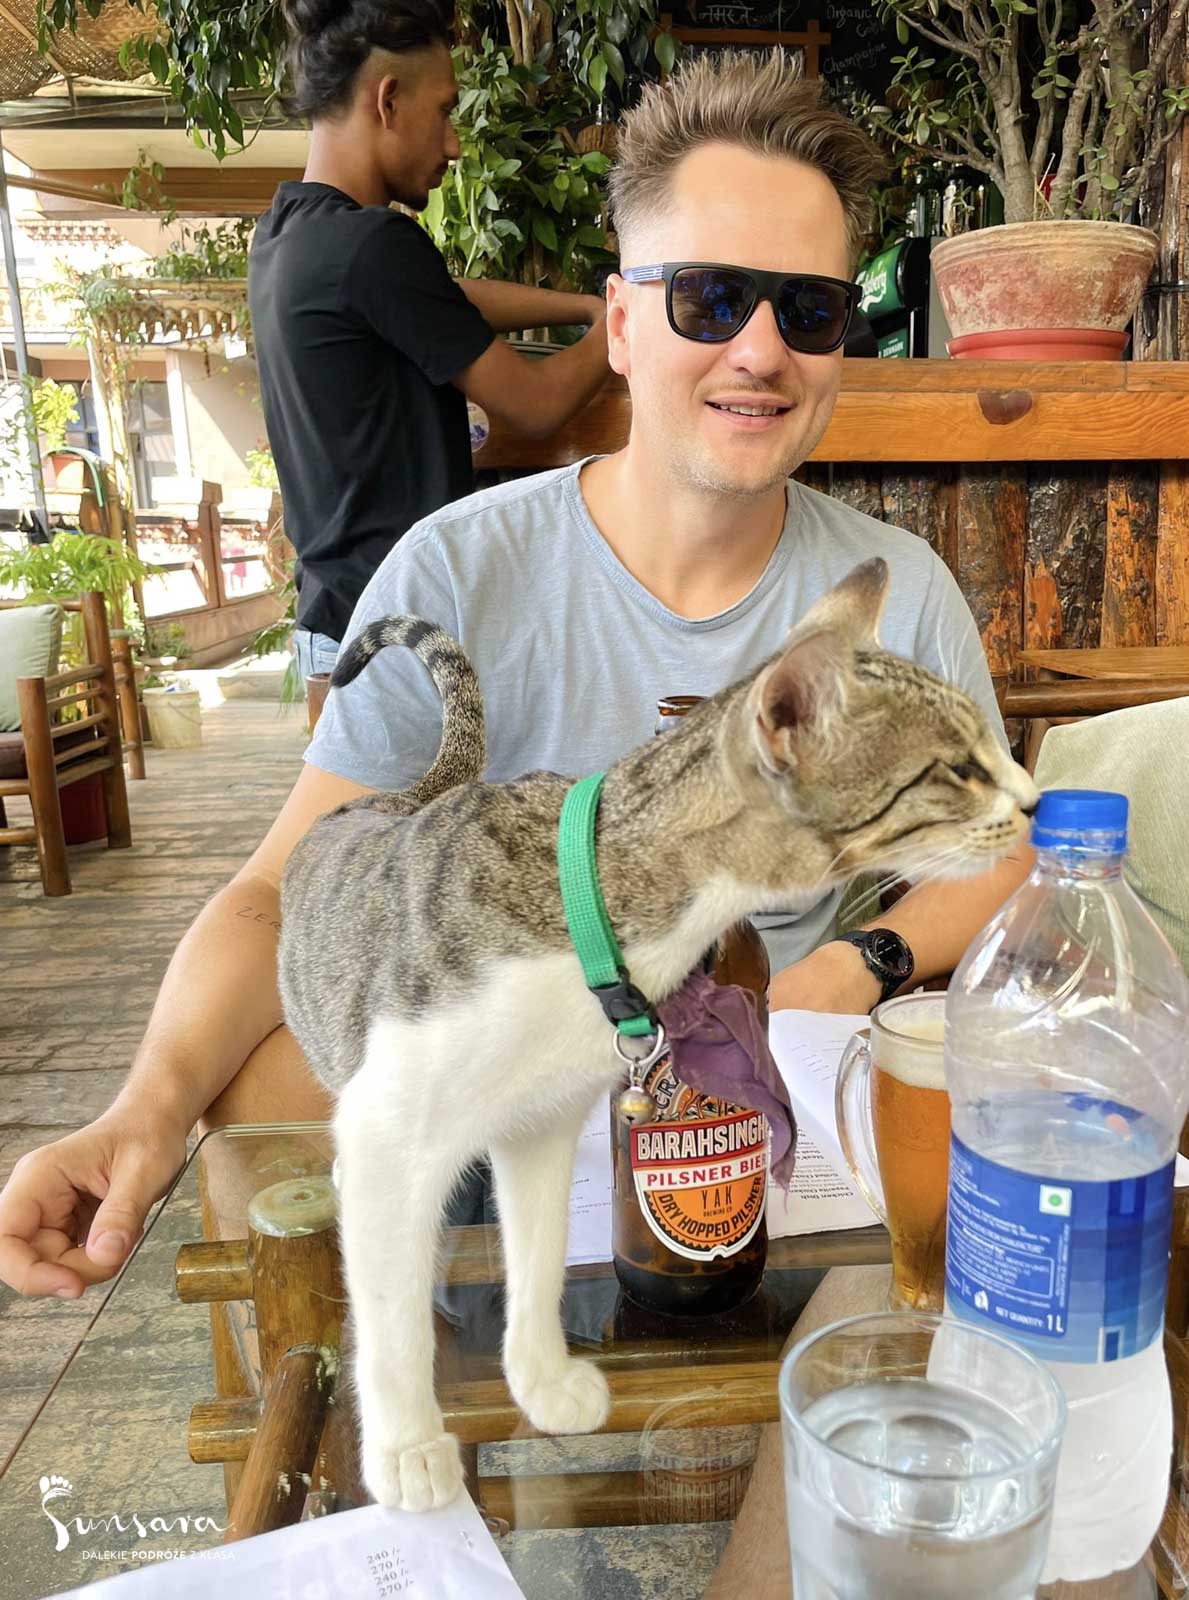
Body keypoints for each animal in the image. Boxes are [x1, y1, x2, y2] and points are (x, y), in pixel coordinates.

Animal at [278, 556, 1038, 1514]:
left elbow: (538, 1260)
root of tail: (385, 798)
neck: (604, 917)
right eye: (958, 768)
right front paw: (407, 1450)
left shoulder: (542, 1123)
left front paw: (541, 1381)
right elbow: (392, 1318)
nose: (1037, 802)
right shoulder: (390, 1132)